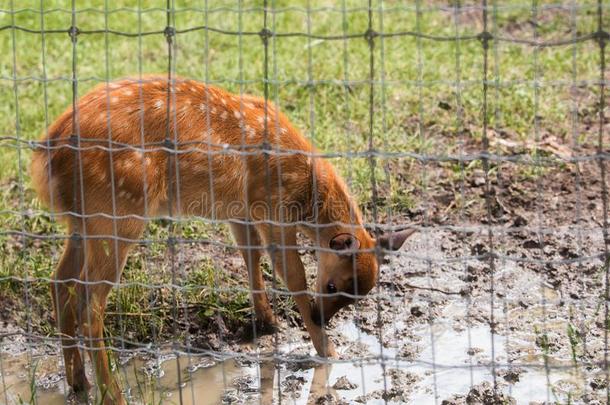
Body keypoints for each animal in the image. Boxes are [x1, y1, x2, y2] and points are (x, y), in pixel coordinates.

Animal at [32, 76, 414, 404]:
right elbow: (293, 275)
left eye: (357, 297)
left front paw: (267, 321)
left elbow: (250, 256)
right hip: (119, 215)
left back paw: (78, 383)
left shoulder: (241, 212)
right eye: (333, 286)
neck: (307, 189)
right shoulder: (272, 208)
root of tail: (47, 156)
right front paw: (328, 352)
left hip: (84, 222)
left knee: (60, 282)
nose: (322, 318)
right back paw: (113, 395)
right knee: (90, 303)